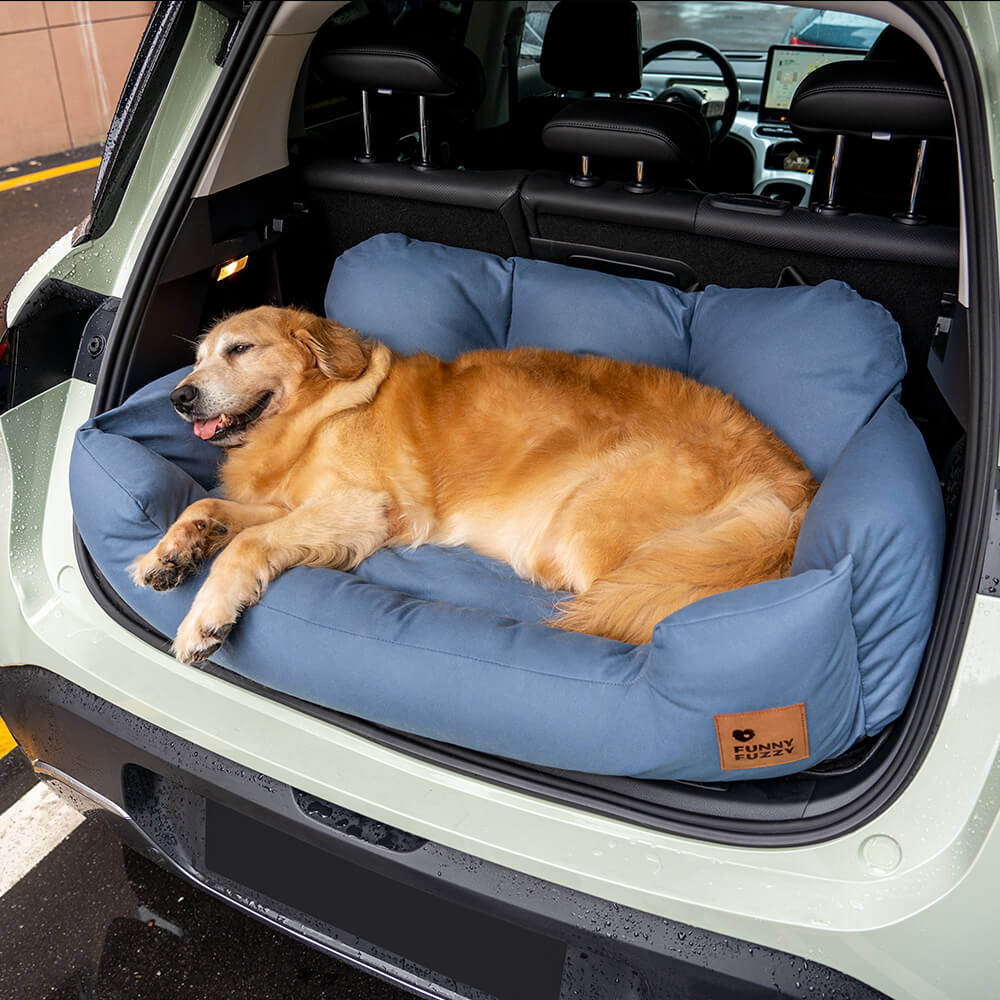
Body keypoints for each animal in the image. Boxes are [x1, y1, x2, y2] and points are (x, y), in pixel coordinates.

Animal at [133, 304, 816, 664]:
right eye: (197, 358)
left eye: (240, 350)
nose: (178, 397)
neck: (317, 411)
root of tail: (793, 490)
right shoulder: (291, 503)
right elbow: (209, 506)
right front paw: (171, 553)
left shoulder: (362, 506)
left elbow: (248, 544)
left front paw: (205, 619)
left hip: (587, 527)